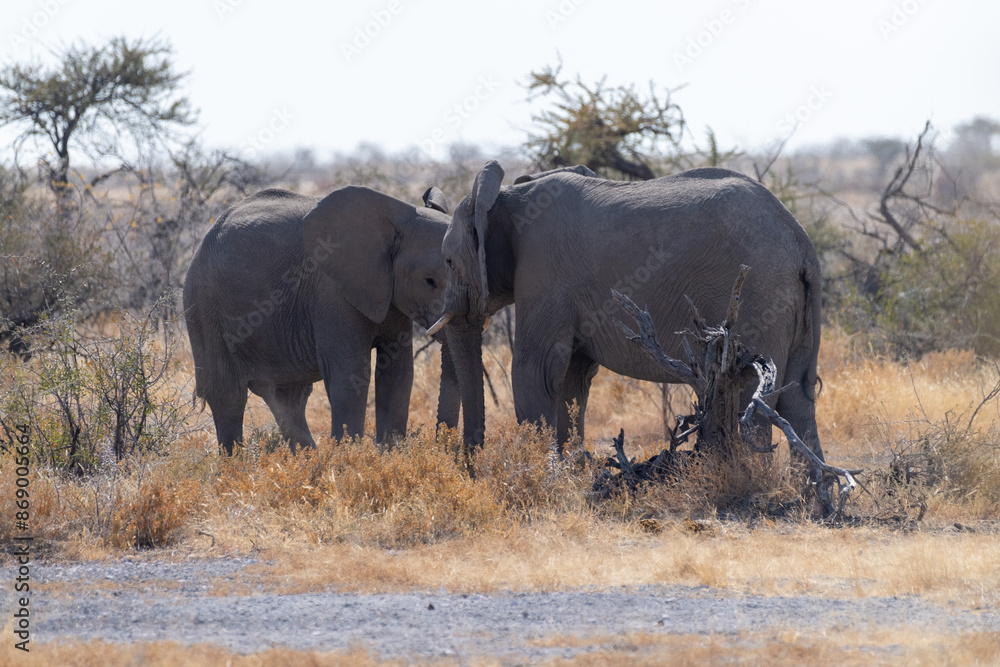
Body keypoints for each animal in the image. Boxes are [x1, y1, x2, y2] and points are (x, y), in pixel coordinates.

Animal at [183, 185, 459, 454]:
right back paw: (235, 465)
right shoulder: (330, 293)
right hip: (204, 309)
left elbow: (398, 373)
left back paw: (307, 460)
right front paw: (350, 458)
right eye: (429, 282)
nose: (447, 448)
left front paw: (390, 457)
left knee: (288, 397)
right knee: (228, 395)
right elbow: (350, 373)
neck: (399, 215)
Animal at [429, 161, 824, 466]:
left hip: (758, 296)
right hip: (787, 299)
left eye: (448, 261)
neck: (508, 196)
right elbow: (574, 378)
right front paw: (573, 471)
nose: (469, 466)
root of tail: (803, 243)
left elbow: (535, 370)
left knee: (750, 395)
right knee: (797, 400)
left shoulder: (543, 273)